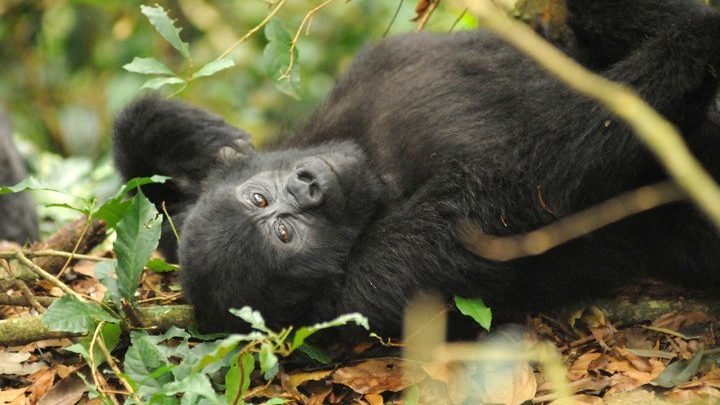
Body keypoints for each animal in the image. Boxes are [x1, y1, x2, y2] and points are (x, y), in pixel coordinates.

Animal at [112, 0, 720, 336]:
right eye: (285, 234)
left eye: (262, 198)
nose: (308, 188)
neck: (375, 170)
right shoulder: (383, 281)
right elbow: (537, 180)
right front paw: (695, 43)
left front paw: (198, 139)